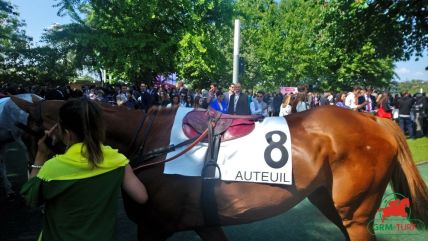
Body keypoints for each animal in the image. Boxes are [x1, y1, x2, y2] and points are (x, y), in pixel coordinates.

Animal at [8, 96, 428, 241]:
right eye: (22, 139)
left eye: (45, 140)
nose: (27, 193)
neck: (152, 142)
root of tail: (374, 120)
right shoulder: (206, 223)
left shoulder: (153, 227)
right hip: (328, 200)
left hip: (353, 211)